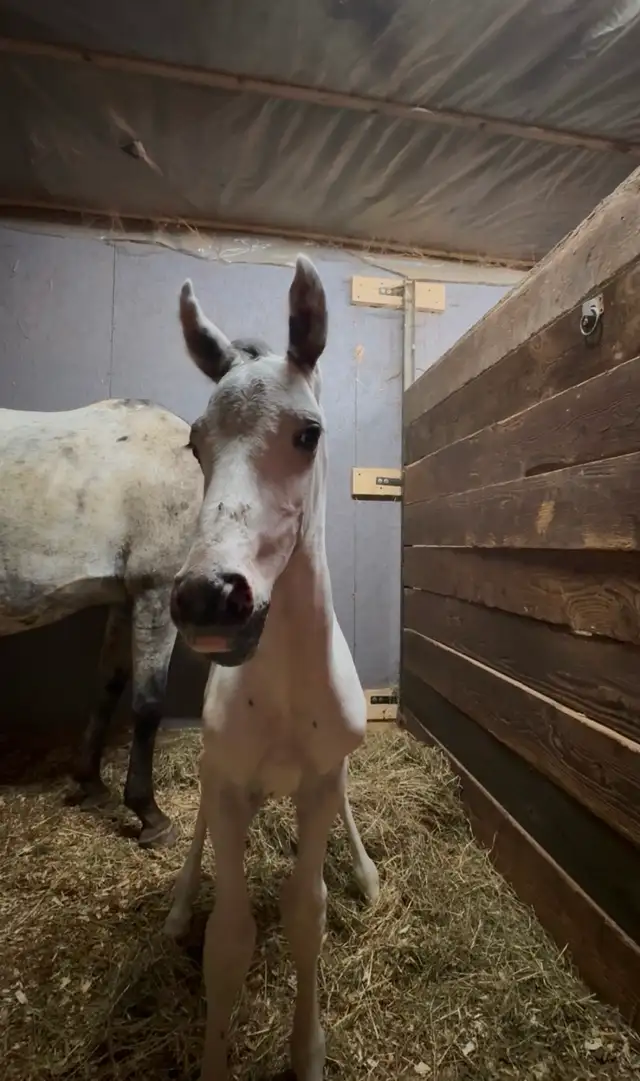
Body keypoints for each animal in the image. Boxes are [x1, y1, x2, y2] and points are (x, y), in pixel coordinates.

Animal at [0, 397, 203, 845]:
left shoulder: (123, 600)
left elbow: (107, 686)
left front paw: (91, 784)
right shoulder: (155, 591)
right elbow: (148, 703)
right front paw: (150, 815)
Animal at [164, 254, 380, 1080]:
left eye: (308, 433)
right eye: (195, 444)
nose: (209, 596)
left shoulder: (319, 780)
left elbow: (305, 915)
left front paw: (307, 1051)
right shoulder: (227, 781)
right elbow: (228, 941)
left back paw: (367, 872)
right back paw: (177, 903)